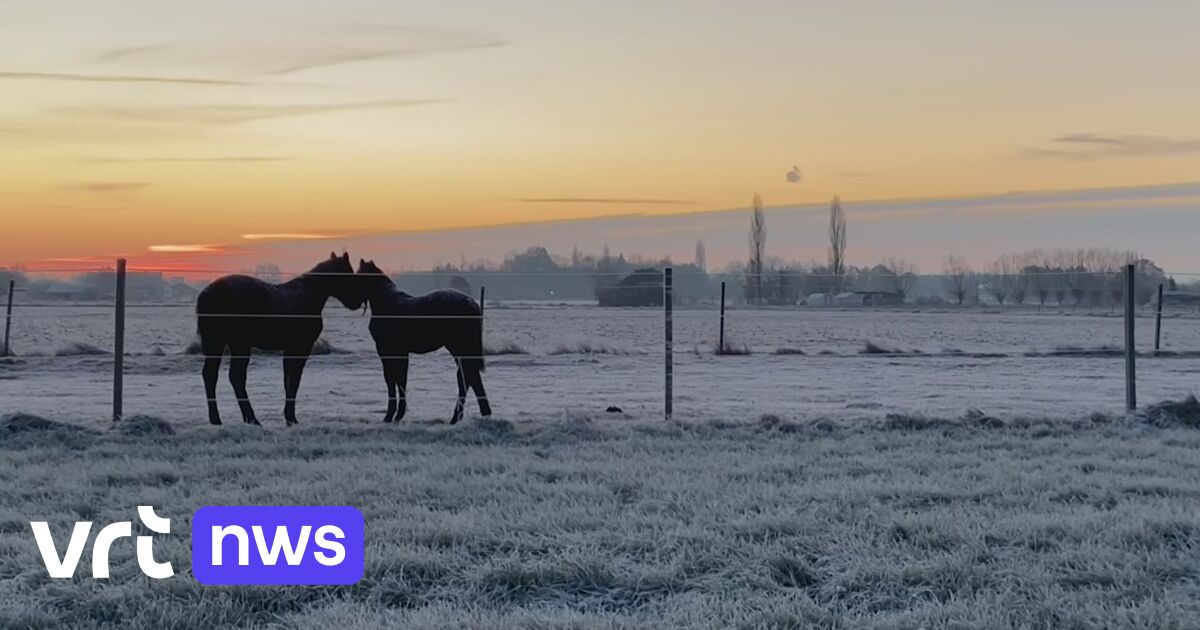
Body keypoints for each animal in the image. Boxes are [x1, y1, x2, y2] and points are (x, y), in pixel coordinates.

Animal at [192, 253, 357, 424]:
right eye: (349, 274)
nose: (356, 302)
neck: (307, 295)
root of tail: (208, 293)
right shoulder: (301, 347)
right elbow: (294, 381)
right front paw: (291, 418)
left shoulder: (290, 349)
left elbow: (288, 381)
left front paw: (288, 417)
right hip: (239, 345)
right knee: (235, 377)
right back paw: (251, 419)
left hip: (217, 344)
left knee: (211, 375)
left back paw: (218, 419)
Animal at [352, 258, 489, 424]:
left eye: (359, 276)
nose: (352, 301)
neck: (386, 304)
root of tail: (469, 302)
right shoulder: (401, 352)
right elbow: (401, 380)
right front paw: (398, 415)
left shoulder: (387, 351)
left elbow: (392, 380)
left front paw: (390, 416)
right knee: (469, 376)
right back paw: (471, 415)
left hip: (458, 348)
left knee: (467, 377)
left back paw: (460, 417)